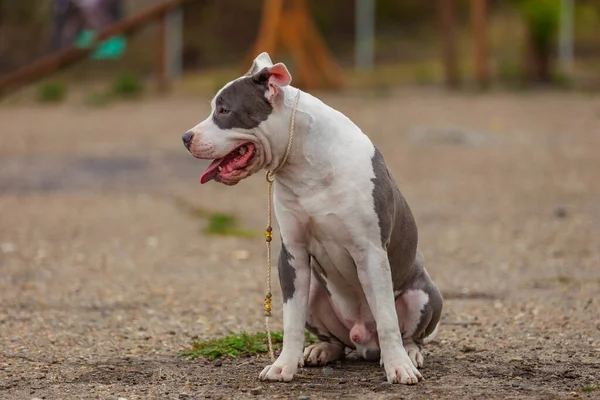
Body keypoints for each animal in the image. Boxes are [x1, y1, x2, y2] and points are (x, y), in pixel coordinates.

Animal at [180, 53, 442, 384]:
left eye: (224, 110)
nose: (185, 137)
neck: (304, 163)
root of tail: (365, 344)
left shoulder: (371, 251)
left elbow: (386, 318)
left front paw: (398, 366)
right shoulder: (293, 254)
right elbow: (291, 321)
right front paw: (283, 366)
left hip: (423, 294)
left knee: (411, 333)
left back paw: (408, 353)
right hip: (318, 293)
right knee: (337, 340)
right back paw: (321, 350)